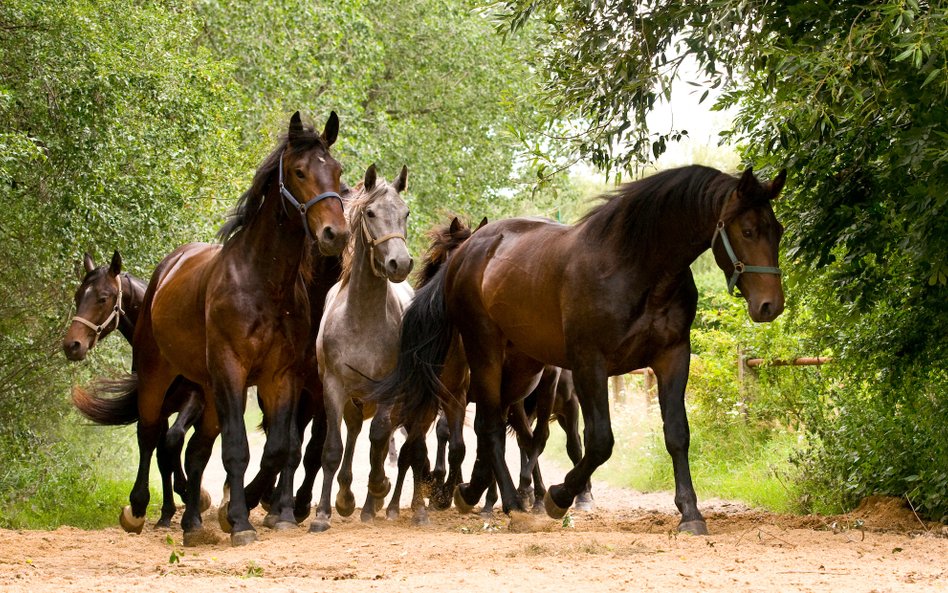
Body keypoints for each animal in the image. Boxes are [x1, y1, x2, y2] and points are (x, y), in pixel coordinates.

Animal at [312, 163, 412, 532]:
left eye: (405, 213)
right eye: (370, 213)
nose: (401, 263)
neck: (362, 320)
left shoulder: (388, 390)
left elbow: (379, 440)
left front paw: (376, 494)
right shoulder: (333, 386)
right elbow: (332, 448)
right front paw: (323, 513)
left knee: (379, 439)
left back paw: (372, 497)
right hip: (353, 397)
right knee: (353, 432)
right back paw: (344, 496)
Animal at [376, 165, 784, 532]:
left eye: (777, 231)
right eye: (747, 230)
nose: (770, 305)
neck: (636, 270)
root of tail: (467, 254)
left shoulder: (672, 357)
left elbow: (677, 434)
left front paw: (690, 513)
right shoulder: (590, 364)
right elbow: (600, 442)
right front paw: (559, 497)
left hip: (519, 372)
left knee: (496, 432)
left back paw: (475, 493)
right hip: (484, 354)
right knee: (487, 428)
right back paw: (511, 507)